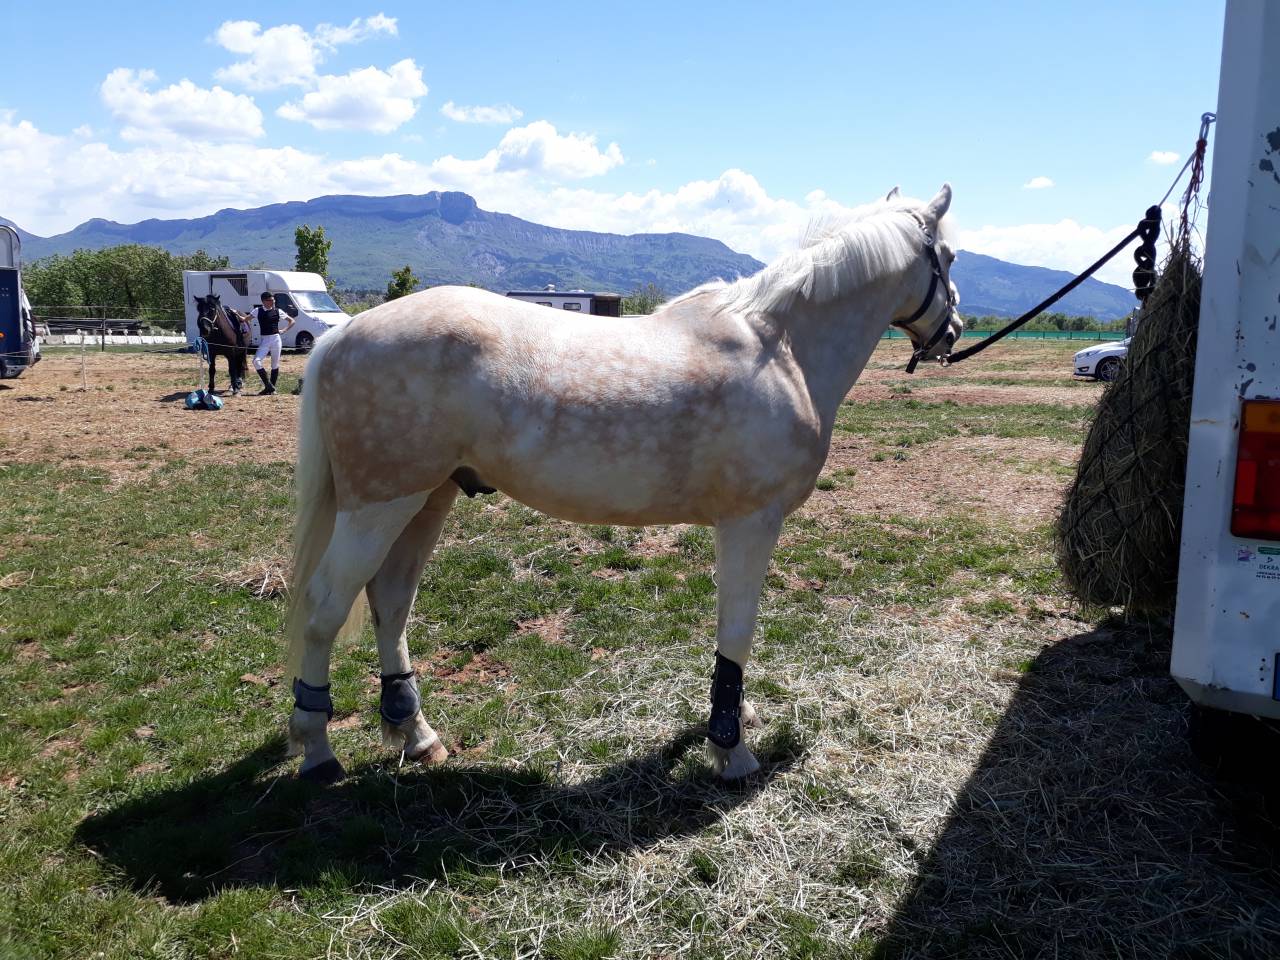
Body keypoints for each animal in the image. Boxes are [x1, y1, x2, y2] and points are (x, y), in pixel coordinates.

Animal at [283, 184, 962, 784]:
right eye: (949, 258)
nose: (952, 333)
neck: (783, 348)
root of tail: (342, 335)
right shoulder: (751, 522)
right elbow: (737, 630)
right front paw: (730, 749)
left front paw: (737, 716)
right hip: (379, 506)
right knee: (324, 606)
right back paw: (316, 748)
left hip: (428, 497)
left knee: (390, 602)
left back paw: (415, 734)